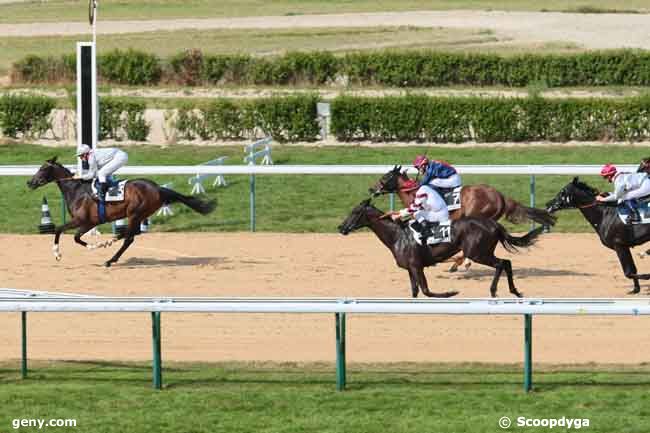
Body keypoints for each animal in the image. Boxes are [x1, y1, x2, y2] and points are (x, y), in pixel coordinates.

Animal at [27, 157, 215, 264]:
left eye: (43, 168)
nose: (30, 182)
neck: (77, 190)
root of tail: (157, 188)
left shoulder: (81, 220)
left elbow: (60, 230)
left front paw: (58, 254)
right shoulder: (90, 222)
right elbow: (76, 237)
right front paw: (96, 245)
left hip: (135, 213)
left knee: (130, 237)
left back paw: (110, 258)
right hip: (139, 215)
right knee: (133, 234)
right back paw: (111, 243)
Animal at [336, 199, 544, 296]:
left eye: (355, 212)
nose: (341, 228)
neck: (398, 235)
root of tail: (494, 224)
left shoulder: (416, 266)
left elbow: (426, 291)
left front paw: (451, 292)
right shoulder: (410, 268)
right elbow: (415, 291)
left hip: (477, 253)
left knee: (502, 263)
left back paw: (494, 291)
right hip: (482, 252)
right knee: (506, 263)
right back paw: (514, 291)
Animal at [368, 166, 556, 270]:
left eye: (385, 177)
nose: (371, 189)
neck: (414, 193)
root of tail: (501, 196)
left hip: (477, 214)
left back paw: (460, 263)